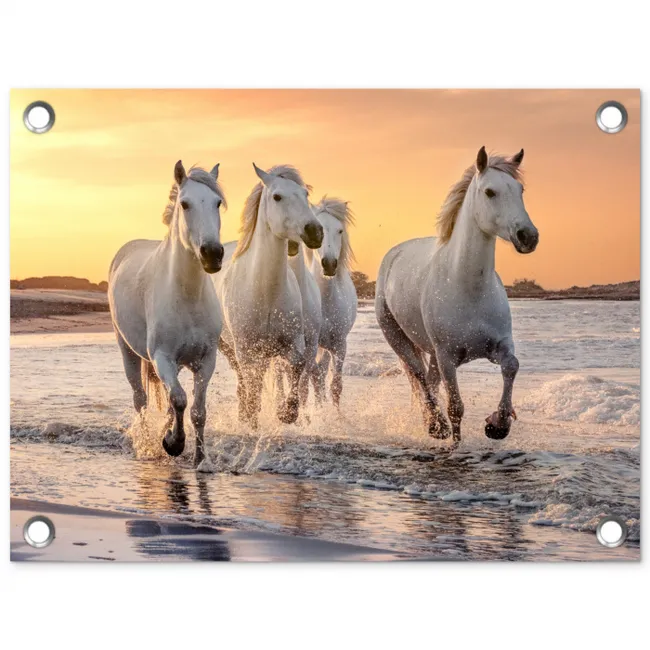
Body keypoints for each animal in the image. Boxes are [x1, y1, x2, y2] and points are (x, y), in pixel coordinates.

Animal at [108, 161, 226, 470]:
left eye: (217, 203)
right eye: (185, 204)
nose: (212, 254)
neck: (187, 296)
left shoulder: (205, 360)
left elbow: (197, 410)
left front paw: (200, 458)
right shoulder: (162, 356)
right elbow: (180, 399)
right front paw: (174, 443)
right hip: (128, 351)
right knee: (140, 399)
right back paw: (148, 443)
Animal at [213, 164, 323, 428]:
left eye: (305, 194)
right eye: (277, 197)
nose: (315, 232)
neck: (266, 293)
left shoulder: (294, 343)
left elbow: (296, 368)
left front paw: (286, 413)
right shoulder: (246, 350)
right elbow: (252, 386)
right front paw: (252, 419)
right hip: (229, 347)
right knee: (244, 381)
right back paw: (244, 415)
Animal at [375, 147, 538, 443]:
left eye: (520, 189)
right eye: (489, 192)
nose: (528, 236)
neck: (468, 289)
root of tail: (394, 254)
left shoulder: (498, 345)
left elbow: (512, 366)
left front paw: (498, 424)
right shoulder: (448, 357)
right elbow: (456, 408)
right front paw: (456, 440)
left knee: (429, 381)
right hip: (398, 338)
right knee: (420, 376)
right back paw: (436, 426)